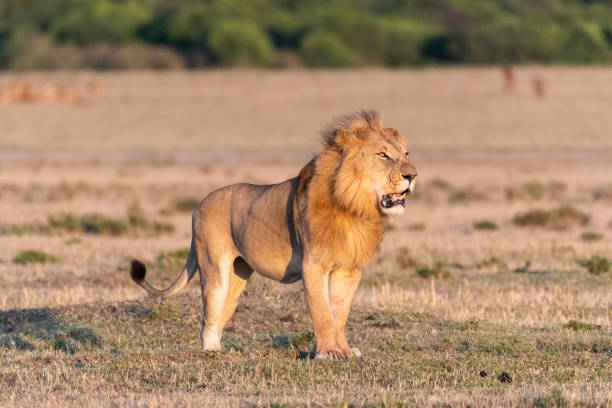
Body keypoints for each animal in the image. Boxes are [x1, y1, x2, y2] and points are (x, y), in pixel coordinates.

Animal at [128, 110, 416, 358]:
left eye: (406, 153)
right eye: (383, 155)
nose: (412, 175)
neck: (354, 206)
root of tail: (198, 206)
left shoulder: (349, 269)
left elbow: (340, 314)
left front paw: (343, 350)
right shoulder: (313, 265)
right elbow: (322, 312)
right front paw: (327, 352)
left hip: (238, 275)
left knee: (220, 315)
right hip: (215, 270)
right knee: (207, 318)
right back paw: (211, 352)